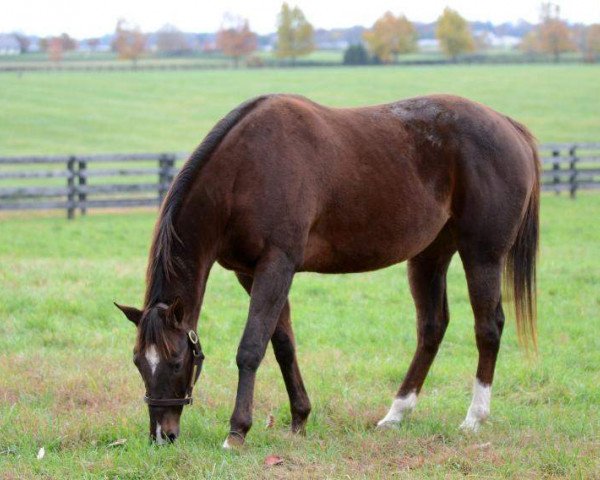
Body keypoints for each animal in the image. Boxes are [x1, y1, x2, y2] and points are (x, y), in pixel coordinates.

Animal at [116, 93, 540, 446]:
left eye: (175, 360)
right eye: (138, 361)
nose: (162, 436)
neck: (246, 169)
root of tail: (508, 125)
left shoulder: (277, 264)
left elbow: (251, 348)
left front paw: (237, 432)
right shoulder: (251, 273)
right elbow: (283, 344)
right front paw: (299, 419)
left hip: (482, 255)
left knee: (488, 327)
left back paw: (474, 418)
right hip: (429, 256)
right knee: (432, 328)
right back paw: (396, 415)